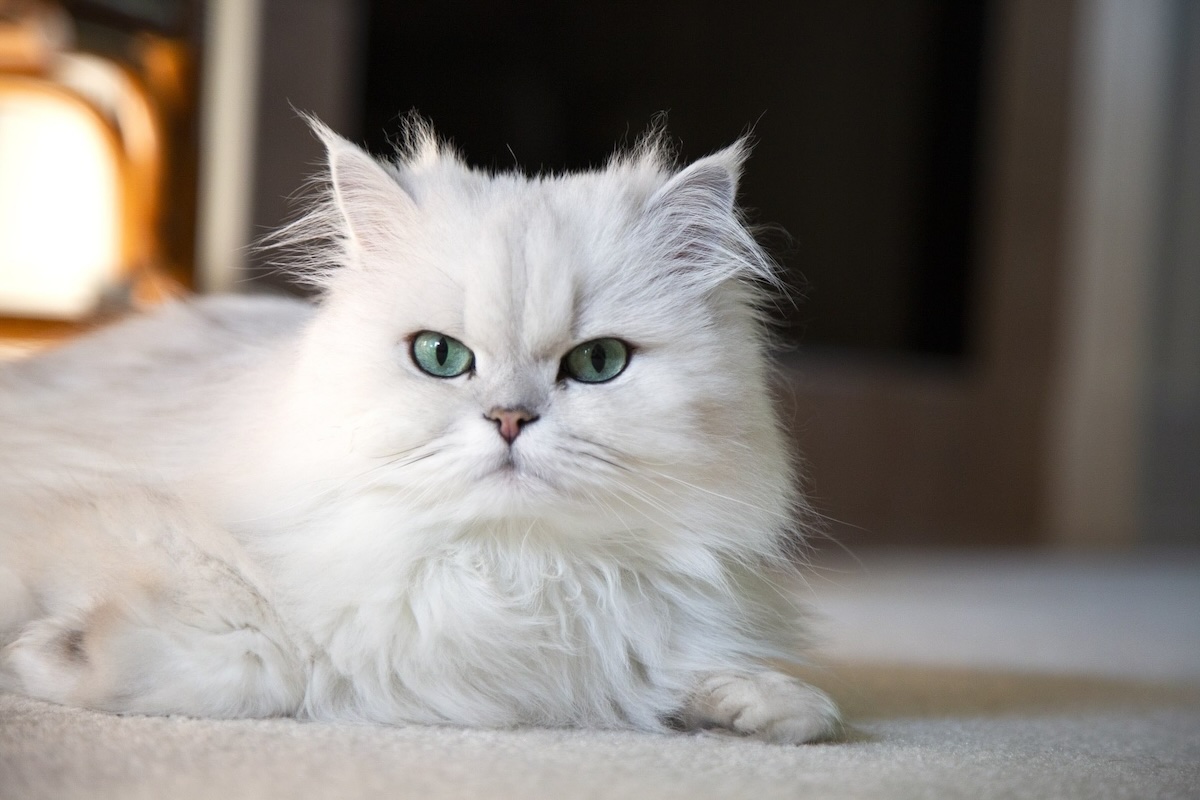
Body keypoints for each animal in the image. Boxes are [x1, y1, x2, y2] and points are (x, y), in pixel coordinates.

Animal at [0, 118, 840, 743]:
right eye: (440, 356)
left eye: (598, 363)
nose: (510, 419)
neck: (513, 572)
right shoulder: (158, 535)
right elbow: (265, 657)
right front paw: (50, 654)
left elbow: (775, 703)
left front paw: (761, 707)